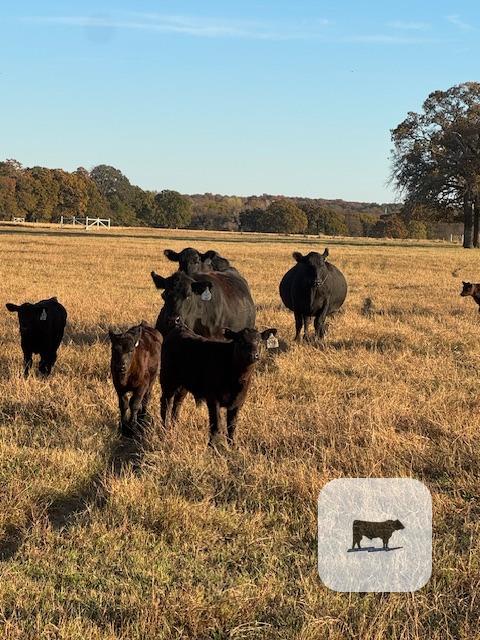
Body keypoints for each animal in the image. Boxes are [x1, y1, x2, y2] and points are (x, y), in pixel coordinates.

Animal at [159, 317, 277, 446]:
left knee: (178, 403)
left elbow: (232, 426)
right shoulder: (213, 399)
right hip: (168, 380)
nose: (253, 355)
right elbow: (216, 425)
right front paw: (212, 446)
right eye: (240, 341)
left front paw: (232, 445)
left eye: (259, 342)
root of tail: (179, 326)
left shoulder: (238, 402)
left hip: (183, 385)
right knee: (166, 403)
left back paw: (174, 427)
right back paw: (164, 431)